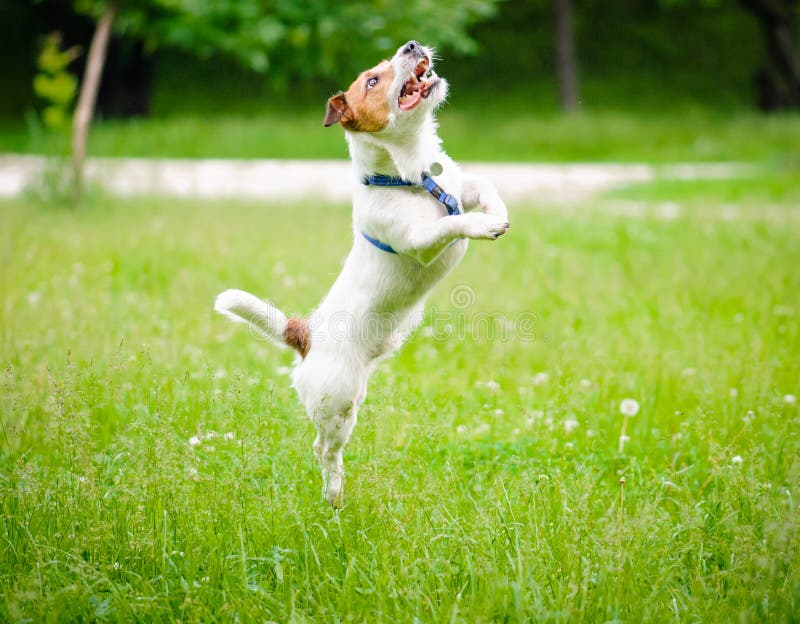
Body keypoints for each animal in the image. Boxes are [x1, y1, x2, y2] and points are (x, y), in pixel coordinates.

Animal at [216, 40, 510, 508]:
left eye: (387, 63)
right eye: (373, 80)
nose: (411, 45)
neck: (411, 174)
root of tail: (306, 336)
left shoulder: (462, 186)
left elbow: (484, 189)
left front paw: (495, 215)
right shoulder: (420, 242)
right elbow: (452, 224)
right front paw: (480, 225)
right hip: (336, 404)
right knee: (324, 449)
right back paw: (334, 494)